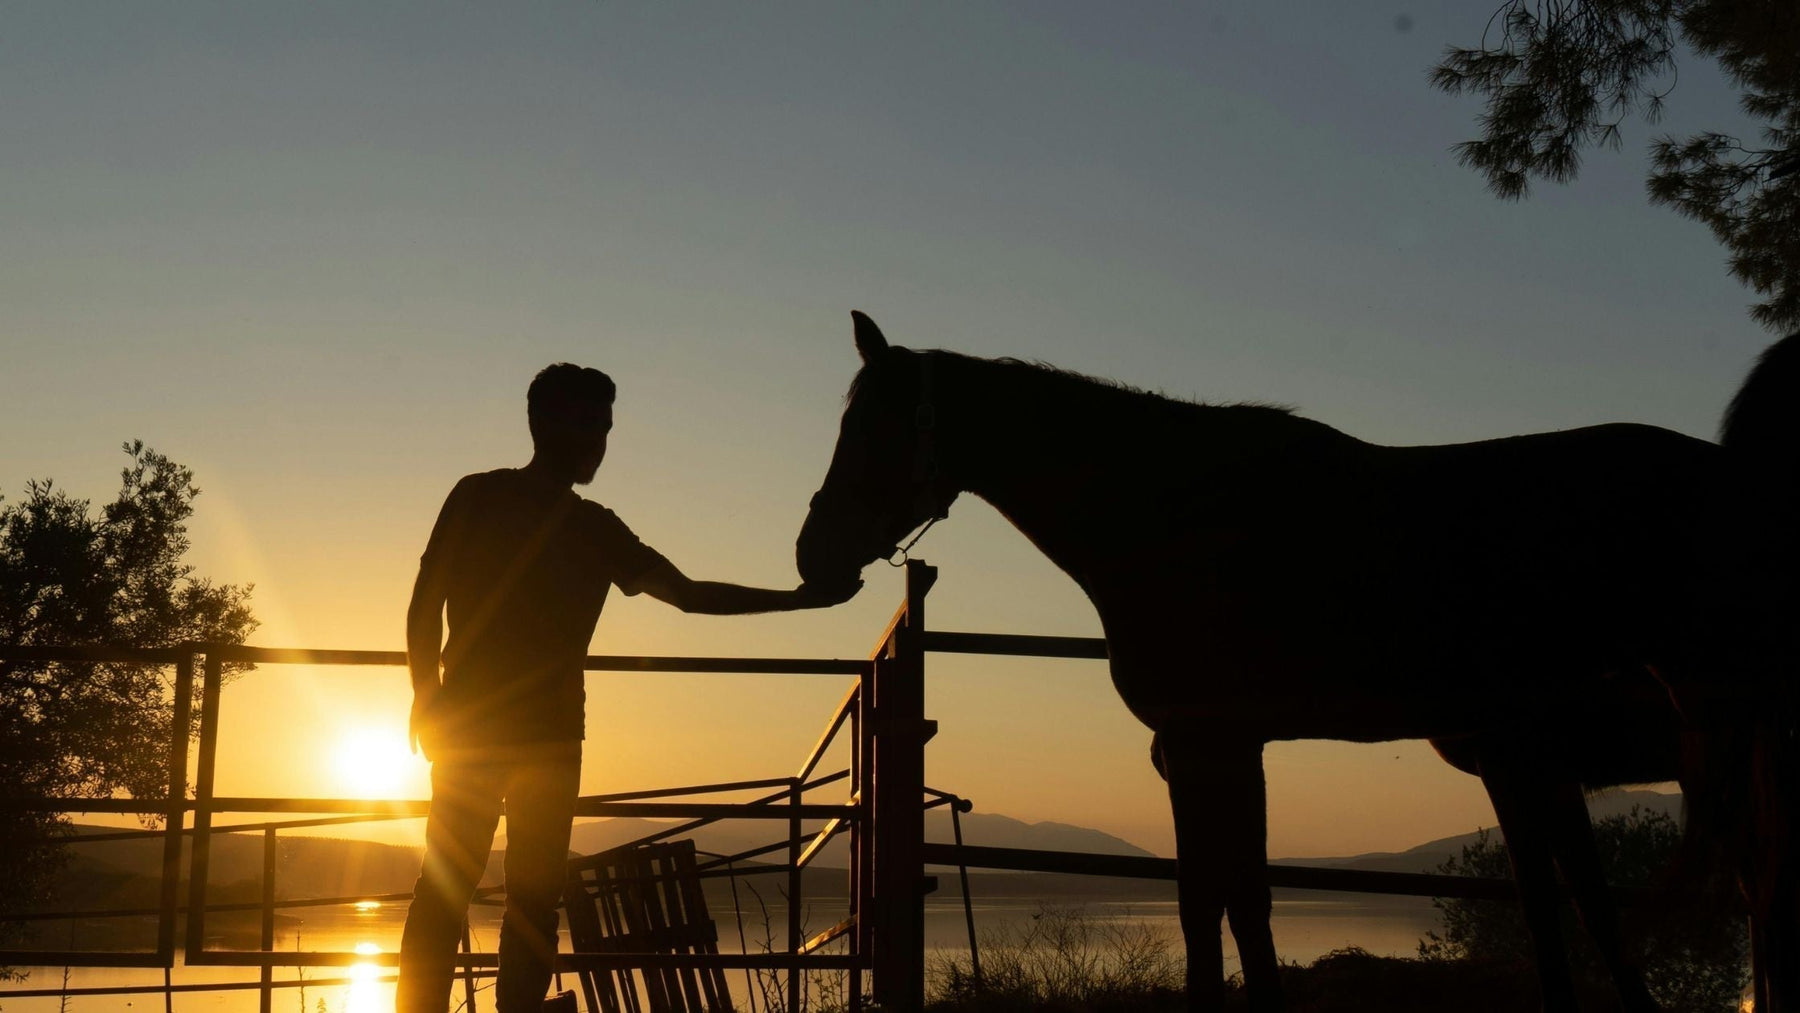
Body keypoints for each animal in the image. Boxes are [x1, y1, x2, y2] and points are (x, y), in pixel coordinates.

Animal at [795, 311, 1799, 1012]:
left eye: (874, 431)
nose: (813, 555)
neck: (1173, 519)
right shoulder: (1222, 747)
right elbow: (1239, 902)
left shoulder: (1207, 743)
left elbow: (1217, 904)